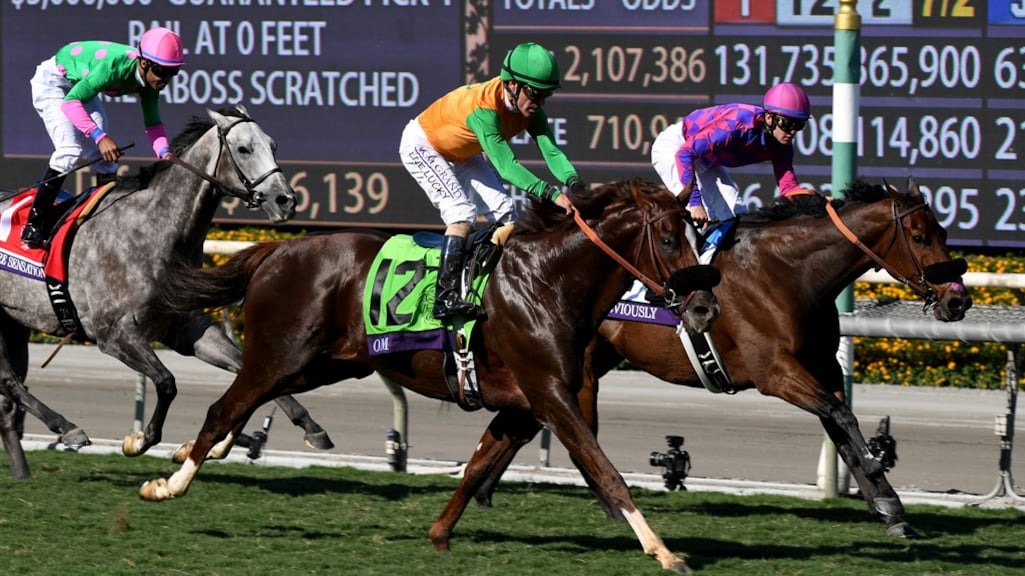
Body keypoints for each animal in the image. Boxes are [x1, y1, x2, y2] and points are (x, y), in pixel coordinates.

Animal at [0, 105, 333, 479]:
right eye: (244, 149)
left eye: (273, 146)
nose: (285, 200)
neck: (150, 230)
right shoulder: (112, 334)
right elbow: (166, 381)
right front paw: (141, 439)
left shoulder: (186, 328)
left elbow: (247, 368)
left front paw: (309, 426)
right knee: (9, 382)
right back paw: (67, 428)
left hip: (14, 322)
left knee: (9, 391)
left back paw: (37, 454)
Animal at [139, 179, 721, 573]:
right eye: (670, 240)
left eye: (696, 235)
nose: (705, 307)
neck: (547, 282)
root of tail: (277, 248)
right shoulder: (552, 395)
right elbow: (605, 469)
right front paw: (664, 551)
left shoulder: (521, 405)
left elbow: (477, 466)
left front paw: (440, 534)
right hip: (282, 356)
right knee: (226, 406)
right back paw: (169, 482)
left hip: (322, 365)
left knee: (246, 403)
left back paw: (195, 451)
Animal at [461, 178, 972, 539]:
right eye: (921, 236)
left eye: (944, 231)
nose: (958, 300)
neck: (790, 271)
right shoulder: (775, 373)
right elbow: (841, 415)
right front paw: (881, 482)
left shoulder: (821, 365)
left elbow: (840, 424)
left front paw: (891, 509)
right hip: (569, 367)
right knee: (569, 428)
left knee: (531, 423)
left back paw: (484, 490)